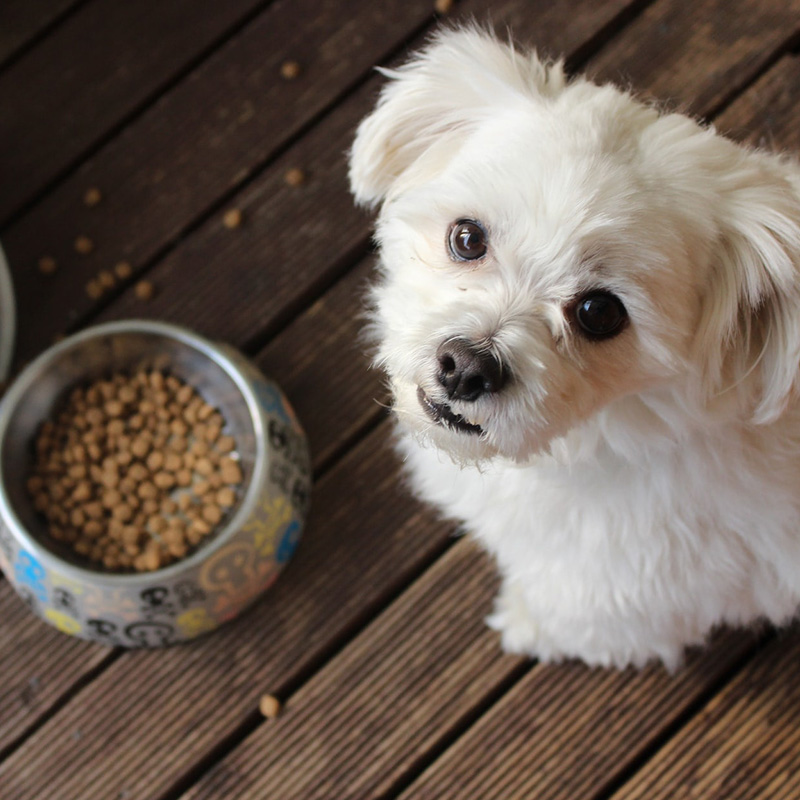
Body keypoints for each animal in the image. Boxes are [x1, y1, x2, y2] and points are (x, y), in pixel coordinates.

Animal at [346, 26, 800, 668]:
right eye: (467, 237)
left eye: (599, 313)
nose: (466, 368)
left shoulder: (629, 595)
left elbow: (575, 621)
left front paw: (522, 622)